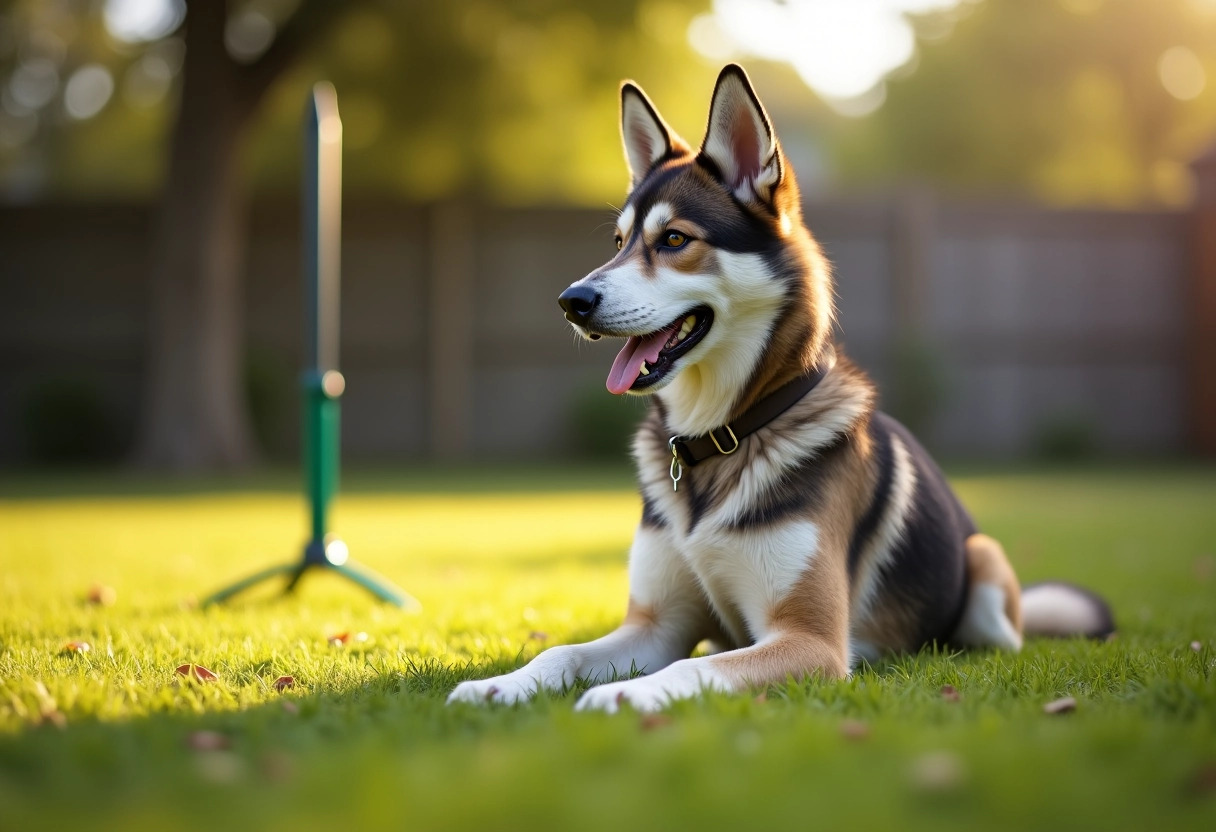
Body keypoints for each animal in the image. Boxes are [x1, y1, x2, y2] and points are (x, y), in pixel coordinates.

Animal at [447, 65, 1113, 715]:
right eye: (618, 244)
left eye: (674, 240)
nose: (571, 301)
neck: (722, 438)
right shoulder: (655, 625)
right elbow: (561, 651)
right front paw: (499, 685)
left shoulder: (809, 641)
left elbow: (695, 666)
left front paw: (625, 693)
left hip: (985, 568)